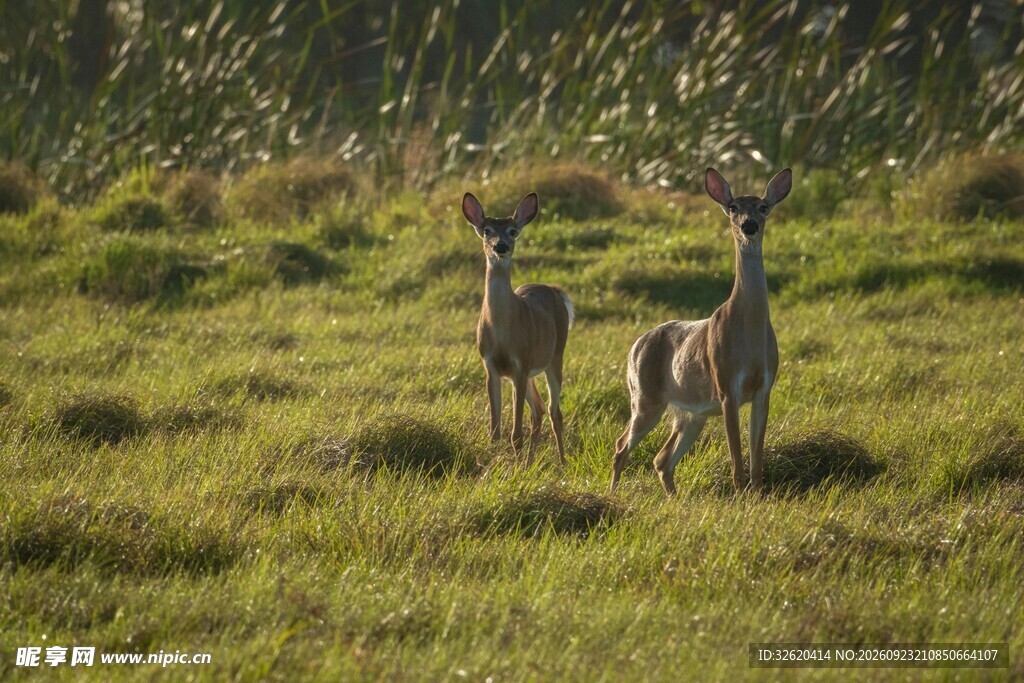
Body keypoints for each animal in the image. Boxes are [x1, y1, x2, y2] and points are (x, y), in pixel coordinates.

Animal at [462, 192, 574, 461]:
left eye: (513, 231)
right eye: (487, 230)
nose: (500, 246)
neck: (502, 333)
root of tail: (554, 290)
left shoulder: (520, 365)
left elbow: (516, 434)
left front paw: (514, 463)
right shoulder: (491, 366)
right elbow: (495, 431)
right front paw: (495, 462)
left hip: (555, 355)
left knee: (555, 413)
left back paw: (562, 461)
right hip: (533, 368)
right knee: (539, 411)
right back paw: (532, 460)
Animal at [609, 167, 793, 496]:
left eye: (763, 206)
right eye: (733, 207)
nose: (748, 225)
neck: (749, 334)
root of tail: (635, 345)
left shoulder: (764, 387)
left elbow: (756, 460)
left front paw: (757, 495)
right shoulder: (726, 385)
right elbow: (736, 460)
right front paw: (740, 496)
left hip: (691, 414)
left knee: (661, 459)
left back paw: (673, 498)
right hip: (645, 397)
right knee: (621, 446)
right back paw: (613, 493)